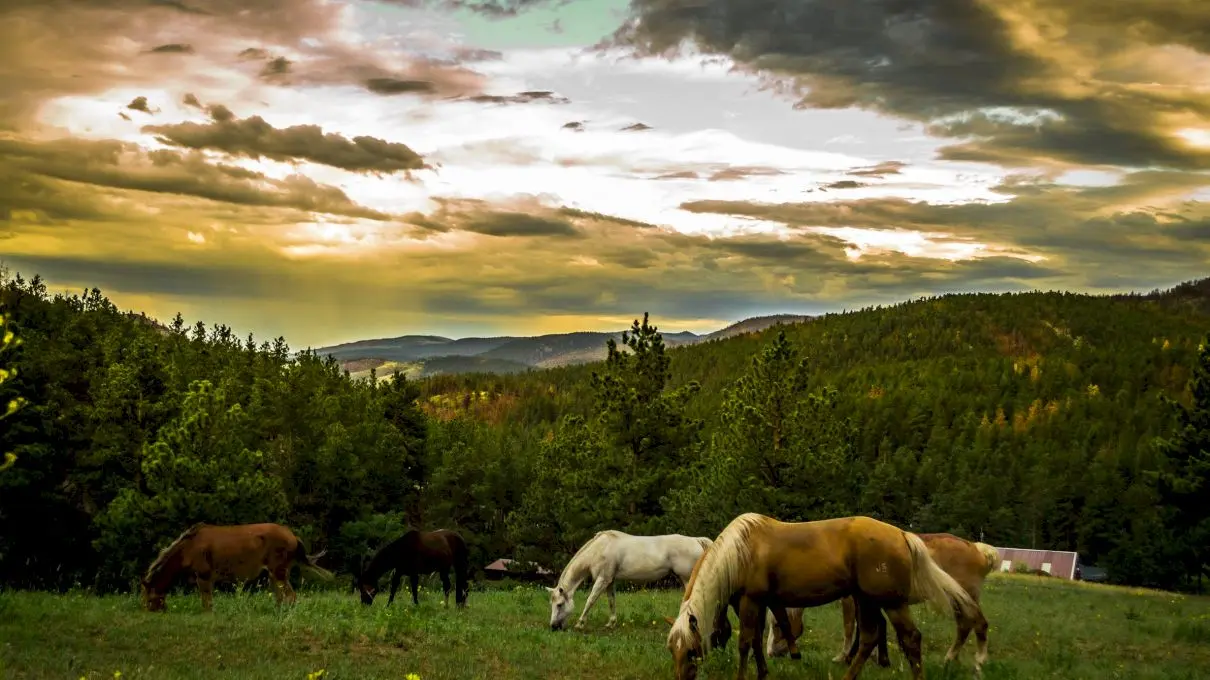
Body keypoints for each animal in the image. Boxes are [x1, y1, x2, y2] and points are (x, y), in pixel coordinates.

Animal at [139, 520, 333, 612]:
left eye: (148, 598)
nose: (150, 610)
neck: (187, 549)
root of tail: (293, 536)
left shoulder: (203, 575)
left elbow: (207, 602)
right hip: (273, 575)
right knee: (281, 598)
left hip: (278, 571)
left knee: (291, 596)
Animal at [546, 529, 706, 629]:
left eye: (559, 604)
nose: (553, 626)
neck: (599, 549)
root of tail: (696, 540)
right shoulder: (609, 581)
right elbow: (611, 601)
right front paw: (611, 623)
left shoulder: (602, 579)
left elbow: (590, 600)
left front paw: (580, 624)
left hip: (687, 579)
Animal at [769, 534, 997, 672]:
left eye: (777, 625)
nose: (771, 653)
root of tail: (979, 550)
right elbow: (877, 625)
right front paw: (878, 659)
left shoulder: (851, 599)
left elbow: (851, 627)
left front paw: (844, 657)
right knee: (965, 625)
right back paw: (951, 659)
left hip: (965, 597)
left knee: (976, 623)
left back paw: (978, 661)